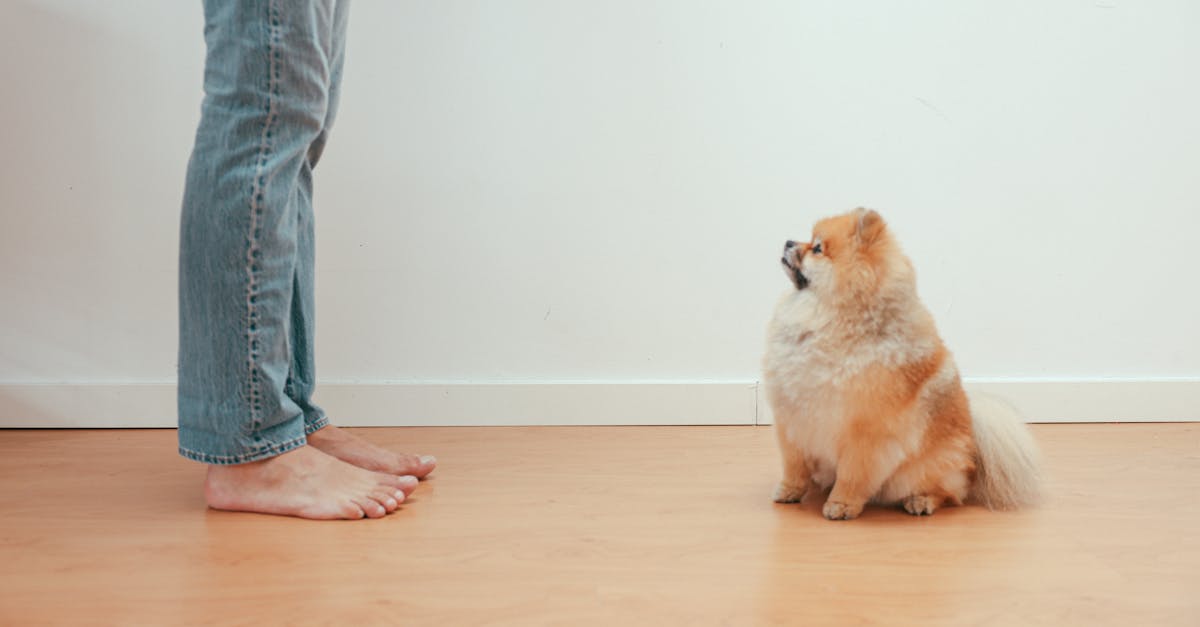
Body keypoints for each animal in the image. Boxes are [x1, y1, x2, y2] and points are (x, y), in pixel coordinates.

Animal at [768, 209, 1041, 516]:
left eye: (817, 248)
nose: (789, 242)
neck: (832, 319)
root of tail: (973, 441)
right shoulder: (792, 418)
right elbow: (794, 465)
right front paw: (789, 491)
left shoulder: (866, 433)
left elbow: (852, 473)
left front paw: (841, 504)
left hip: (925, 469)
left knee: (950, 494)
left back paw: (921, 501)